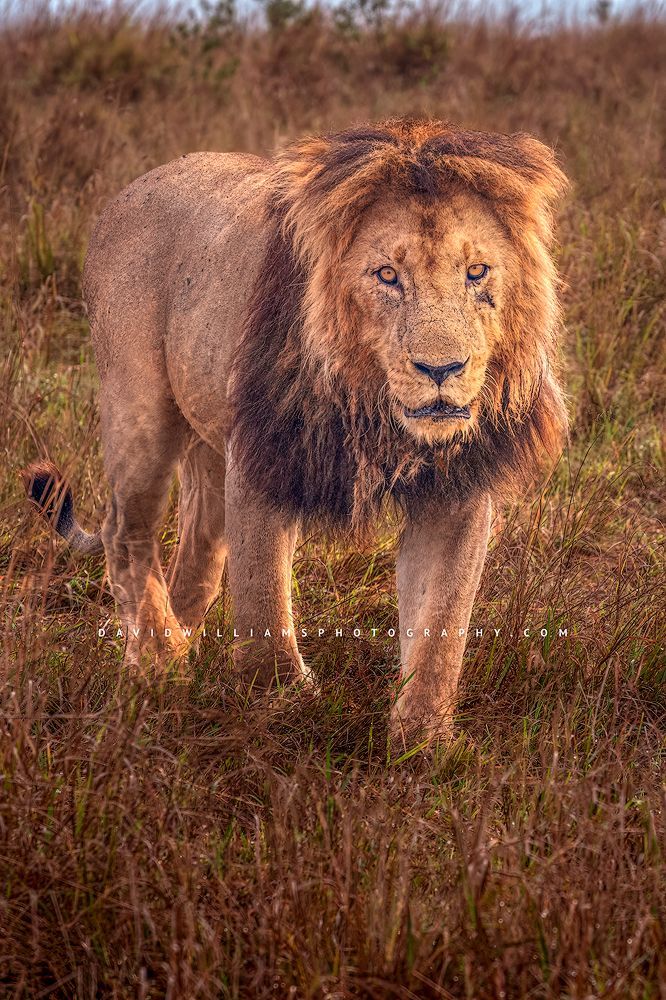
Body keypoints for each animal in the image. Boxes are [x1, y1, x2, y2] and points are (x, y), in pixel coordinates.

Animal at [24, 118, 568, 738]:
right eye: (388, 275)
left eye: (477, 272)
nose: (441, 369)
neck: (373, 406)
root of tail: (131, 188)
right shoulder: (261, 457)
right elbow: (263, 600)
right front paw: (282, 704)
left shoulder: (456, 493)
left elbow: (441, 625)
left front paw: (423, 739)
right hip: (139, 405)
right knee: (125, 529)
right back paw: (163, 664)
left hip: (210, 443)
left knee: (198, 554)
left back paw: (173, 654)